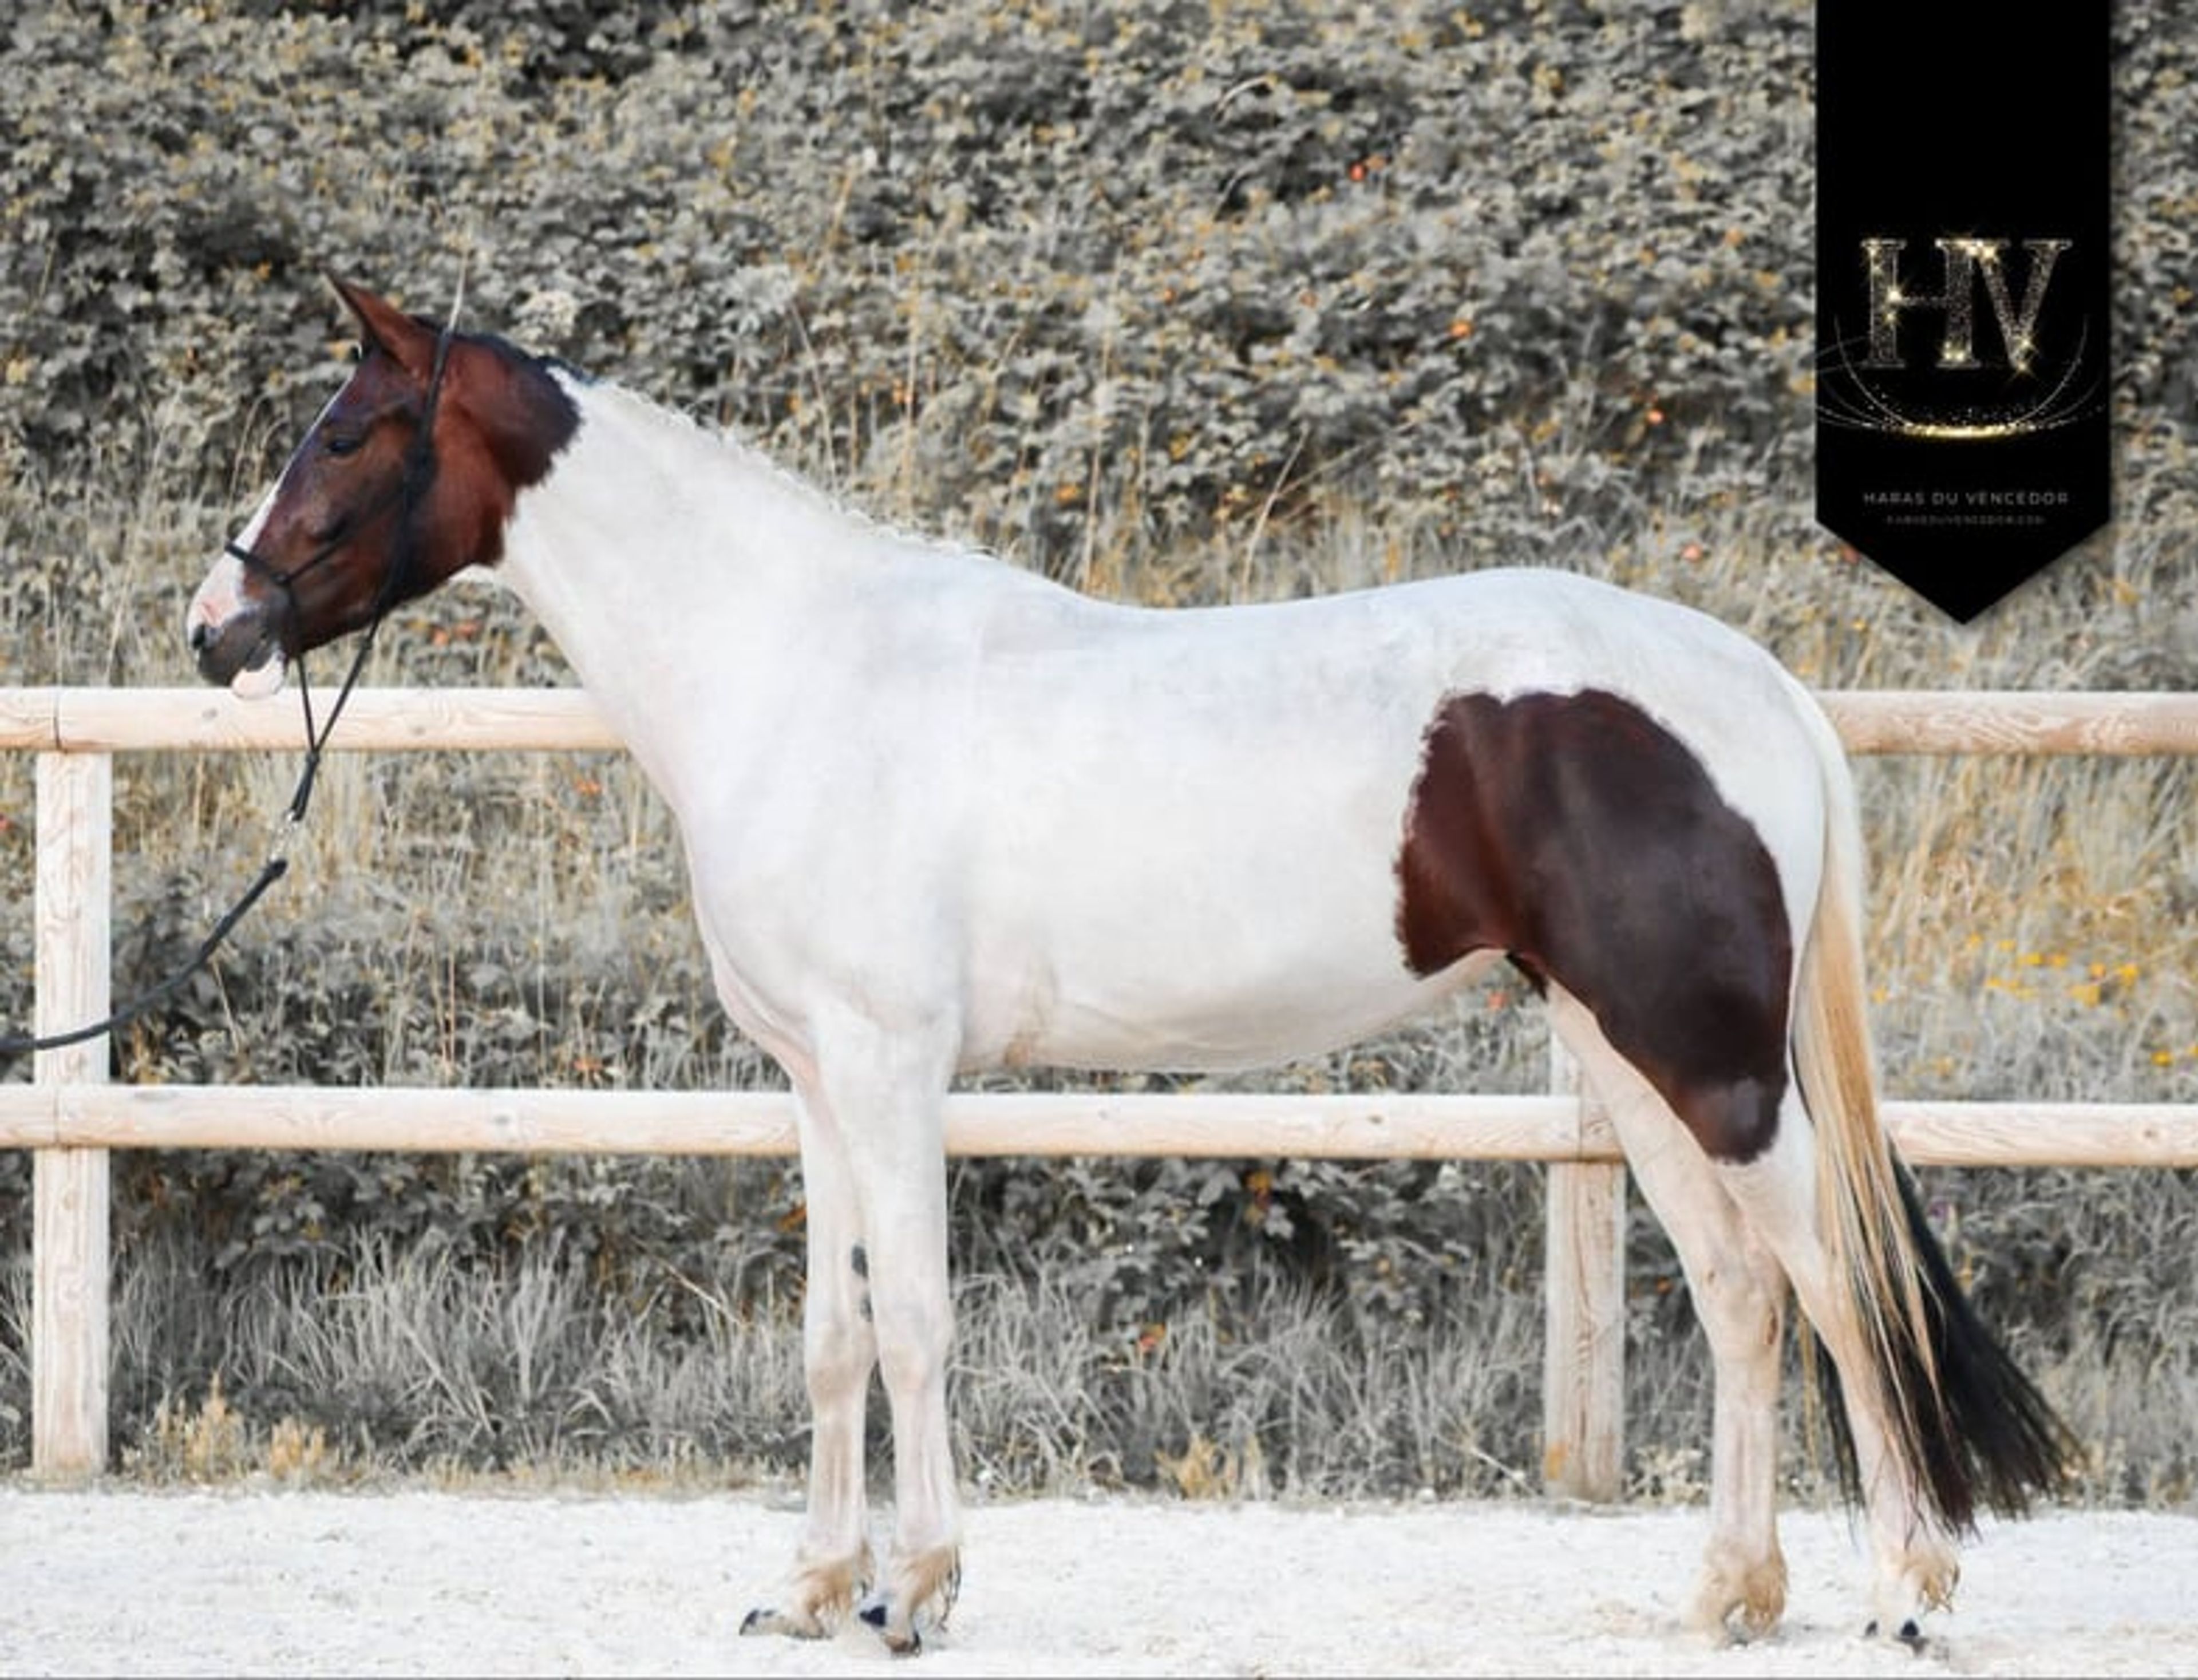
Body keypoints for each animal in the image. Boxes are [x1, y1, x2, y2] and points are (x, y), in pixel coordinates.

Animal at [188, 277, 2073, 1654]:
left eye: (344, 432)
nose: (217, 628)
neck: (794, 668)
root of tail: (1751, 686)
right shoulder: (813, 1081)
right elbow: (829, 1335)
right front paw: (804, 1590)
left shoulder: (891, 1069)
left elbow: (916, 1323)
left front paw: (913, 1591)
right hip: (1627, 1061)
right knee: (1742, 1294)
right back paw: (1725, 1598)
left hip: (1710, 1064)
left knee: (1831, 1282)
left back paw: (1903, 1593)